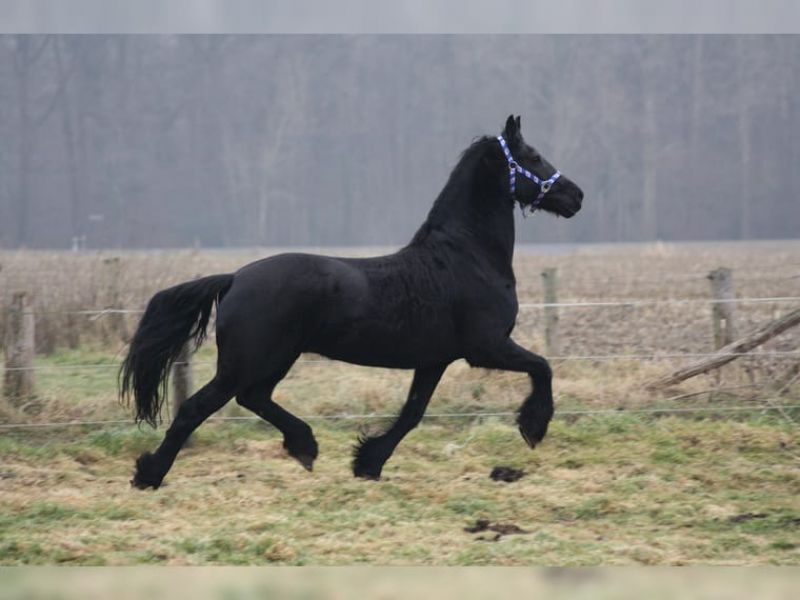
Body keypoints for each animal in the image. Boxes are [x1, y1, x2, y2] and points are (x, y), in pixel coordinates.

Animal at [120, 115, 584, 489]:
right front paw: (533, 427)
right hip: (248, 361)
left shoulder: (434, 360)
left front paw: (368, 462)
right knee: (199, 407)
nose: (576, 196)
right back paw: (149, 475)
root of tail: (234, 278)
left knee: (254, 398)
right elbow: (542, 368)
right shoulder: (485, 347)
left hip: (274, 359)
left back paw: (303, 446)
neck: (464, 256)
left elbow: (412, 413)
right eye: (534, 156)